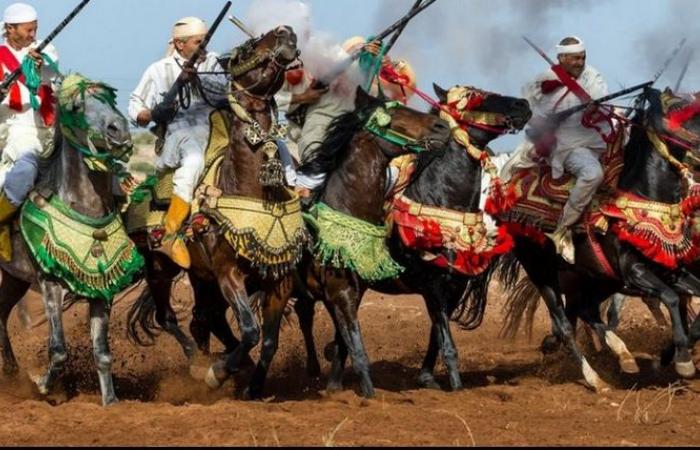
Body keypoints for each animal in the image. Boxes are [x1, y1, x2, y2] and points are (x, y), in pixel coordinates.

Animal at [0, 73, 140, 404]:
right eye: (77, 106)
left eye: (110, 99)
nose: (118, 129)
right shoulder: (50, 284)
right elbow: (59, 350)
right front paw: (42, 386)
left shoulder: (102, 289)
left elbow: (102, 353)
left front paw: (110, 401)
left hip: (14, 278)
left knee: (0, 314)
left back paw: (11, 370)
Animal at [292, 82, 532, 396]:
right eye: (475, 96)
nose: (523, 105)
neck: (440, 201)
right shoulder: (432, 285)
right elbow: (446, 342)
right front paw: (456, 387)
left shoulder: (454, 287)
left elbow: (437, 336)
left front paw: (428, 377)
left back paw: (334, 380)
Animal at [500, 88, 700, 390]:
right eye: (678, 111)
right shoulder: (634, 272)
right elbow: (671, 298)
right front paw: (682, 360)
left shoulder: (672, 271)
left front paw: (670, 355)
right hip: (544, 275)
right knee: (566, 324)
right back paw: (596, 379)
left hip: (593, 281)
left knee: (586, 312)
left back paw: (622, 355)